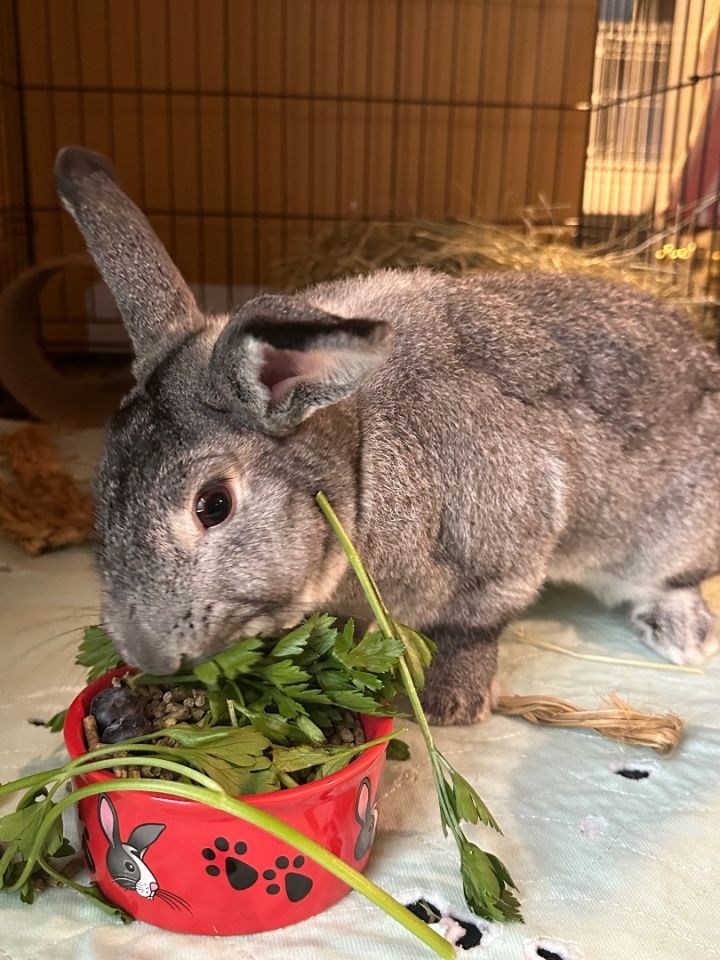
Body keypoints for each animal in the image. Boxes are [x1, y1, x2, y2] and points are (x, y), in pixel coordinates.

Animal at [55, 146, 720, 726]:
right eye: (100, 491)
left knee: (676, 577)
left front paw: (452, 705)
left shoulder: (503, 548)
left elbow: (471, 630)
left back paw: (681, 635)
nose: (148, 655)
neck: (358, 459)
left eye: (213, 504)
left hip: (665, 535)